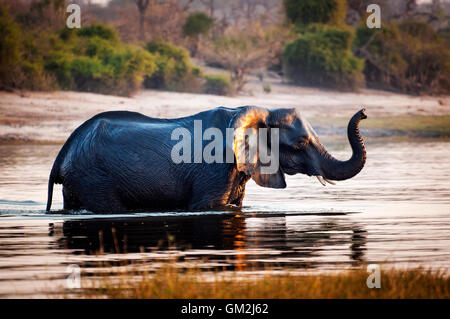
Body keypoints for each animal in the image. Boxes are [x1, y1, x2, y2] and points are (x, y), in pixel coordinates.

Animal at [45, 106, 368, 214]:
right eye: (300, 143)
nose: (364, 113)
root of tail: (63, 152)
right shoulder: (214, 168)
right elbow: (208, 206)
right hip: (93, 176)